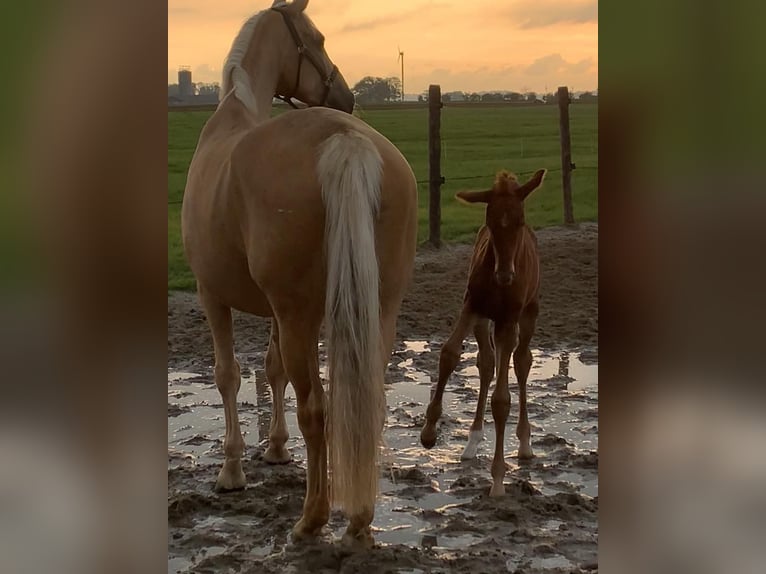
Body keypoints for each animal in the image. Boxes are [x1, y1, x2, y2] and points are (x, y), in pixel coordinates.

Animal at [182, 0, 416, 548]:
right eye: (320, 39)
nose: (346, 96)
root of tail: (345, 140)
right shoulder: (273, 311)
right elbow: (272, 371)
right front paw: (274, 448)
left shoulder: (212, 295)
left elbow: (228, 375)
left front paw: (232, 471)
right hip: (375, 310)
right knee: (366, 403)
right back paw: (359, 516)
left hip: (299, 318)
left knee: (318, 410)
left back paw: (312, 518)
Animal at [420, 169, 544, 498]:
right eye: (490, 222)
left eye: (519, 221)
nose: (505, 276)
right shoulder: (472, 306)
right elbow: (449, 353)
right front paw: (429, 431)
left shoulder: (509, 320)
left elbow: (502, 400)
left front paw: (498, 479)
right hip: (485, 322)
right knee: (487, 364)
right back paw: (472, 440)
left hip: (526, 315)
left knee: (521, 362)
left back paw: (524, 443)